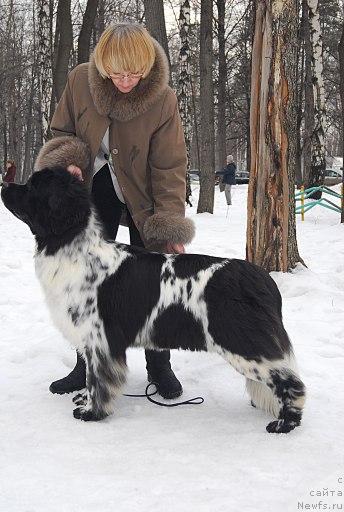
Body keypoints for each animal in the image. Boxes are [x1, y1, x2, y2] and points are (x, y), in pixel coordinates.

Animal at [1, 167, 306, 432]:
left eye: (32, 186)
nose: (4, 184)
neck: (72, 246)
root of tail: (264, 280)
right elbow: (88, 377)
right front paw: (83, 399)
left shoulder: (100, 340)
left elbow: (97, 381)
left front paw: (91, 413)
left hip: (242, 343)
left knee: (291, 382)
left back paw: (285, 424)